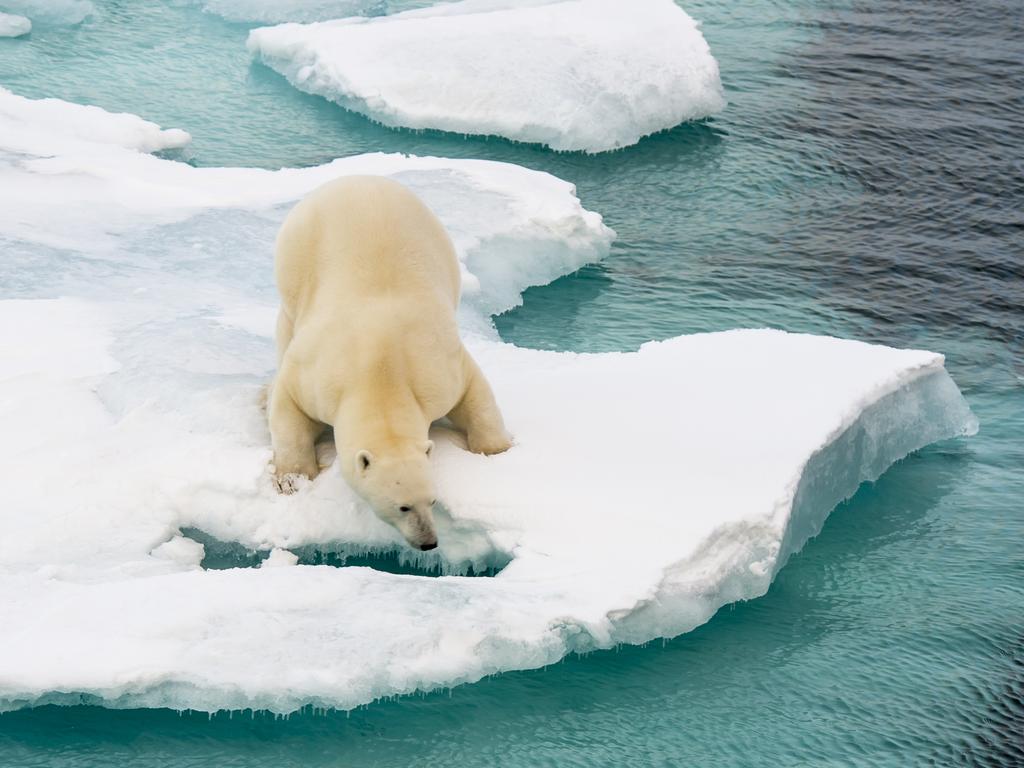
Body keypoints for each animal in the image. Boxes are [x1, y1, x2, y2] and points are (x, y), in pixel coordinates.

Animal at [268, 177, 512, 548]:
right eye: (402, 507)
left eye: (433, 500)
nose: (429, 541)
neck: (380, 371)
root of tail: (357, 179)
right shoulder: (317, 375)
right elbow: (288, 403)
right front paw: (292, 479)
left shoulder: (436, 370)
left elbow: (475, 392)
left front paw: (497, 453)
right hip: (296, 252)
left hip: (438, 241)